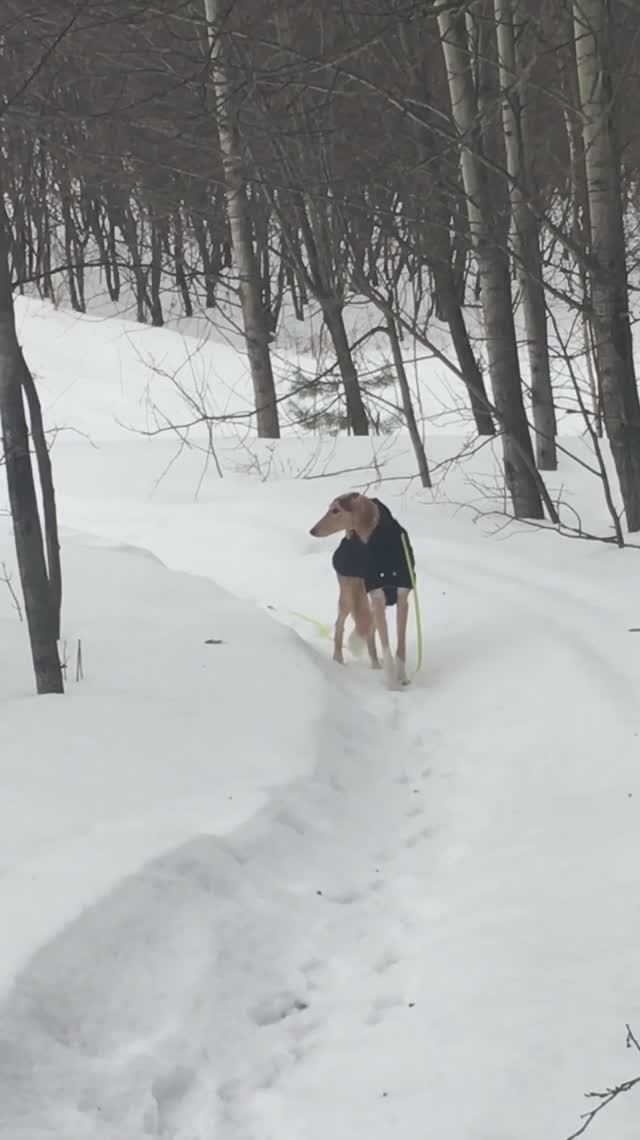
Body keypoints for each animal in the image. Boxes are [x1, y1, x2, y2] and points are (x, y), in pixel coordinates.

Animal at [308, 490, 415, 684]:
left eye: (335, 510)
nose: (312, 531)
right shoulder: (378, 596)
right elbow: (386, 646)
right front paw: (392, 684)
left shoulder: (403, 599)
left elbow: (400, 646)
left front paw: (402, 678)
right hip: (349, 594)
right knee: (340, 624)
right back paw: (338, 659)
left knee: (370, 631)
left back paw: (375, 665)